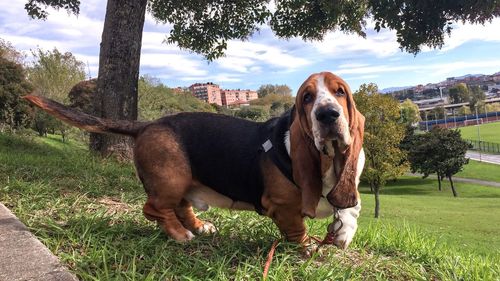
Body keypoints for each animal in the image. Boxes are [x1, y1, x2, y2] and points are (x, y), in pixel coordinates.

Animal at [23, 71, 366, 250]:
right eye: (307, 97)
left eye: (340, 93)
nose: (328, 114)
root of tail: (146, 124)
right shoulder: (282, 206)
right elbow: (297, 229)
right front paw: (308, 247)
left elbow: (350, 210)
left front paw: (343, 232)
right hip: (170, 180)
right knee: (155, 209)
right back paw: (181, 235)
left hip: (183, 181)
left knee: (180, 208)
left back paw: (200, 227)